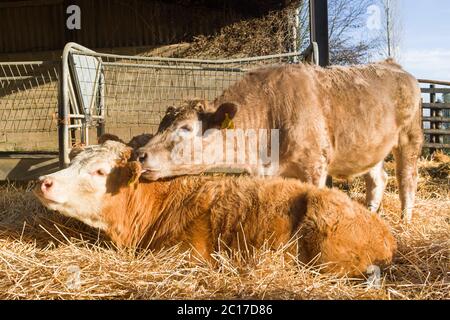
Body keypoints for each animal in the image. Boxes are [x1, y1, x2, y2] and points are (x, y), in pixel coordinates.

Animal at [137, 58, 422, 221]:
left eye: (185, 128)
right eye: (161, 125)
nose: (140, 154)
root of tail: (393, 65)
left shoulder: (314, 165)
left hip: (410, 137)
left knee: (407, 178)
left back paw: (405, 221)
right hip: (372, 147)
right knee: (378, 179)